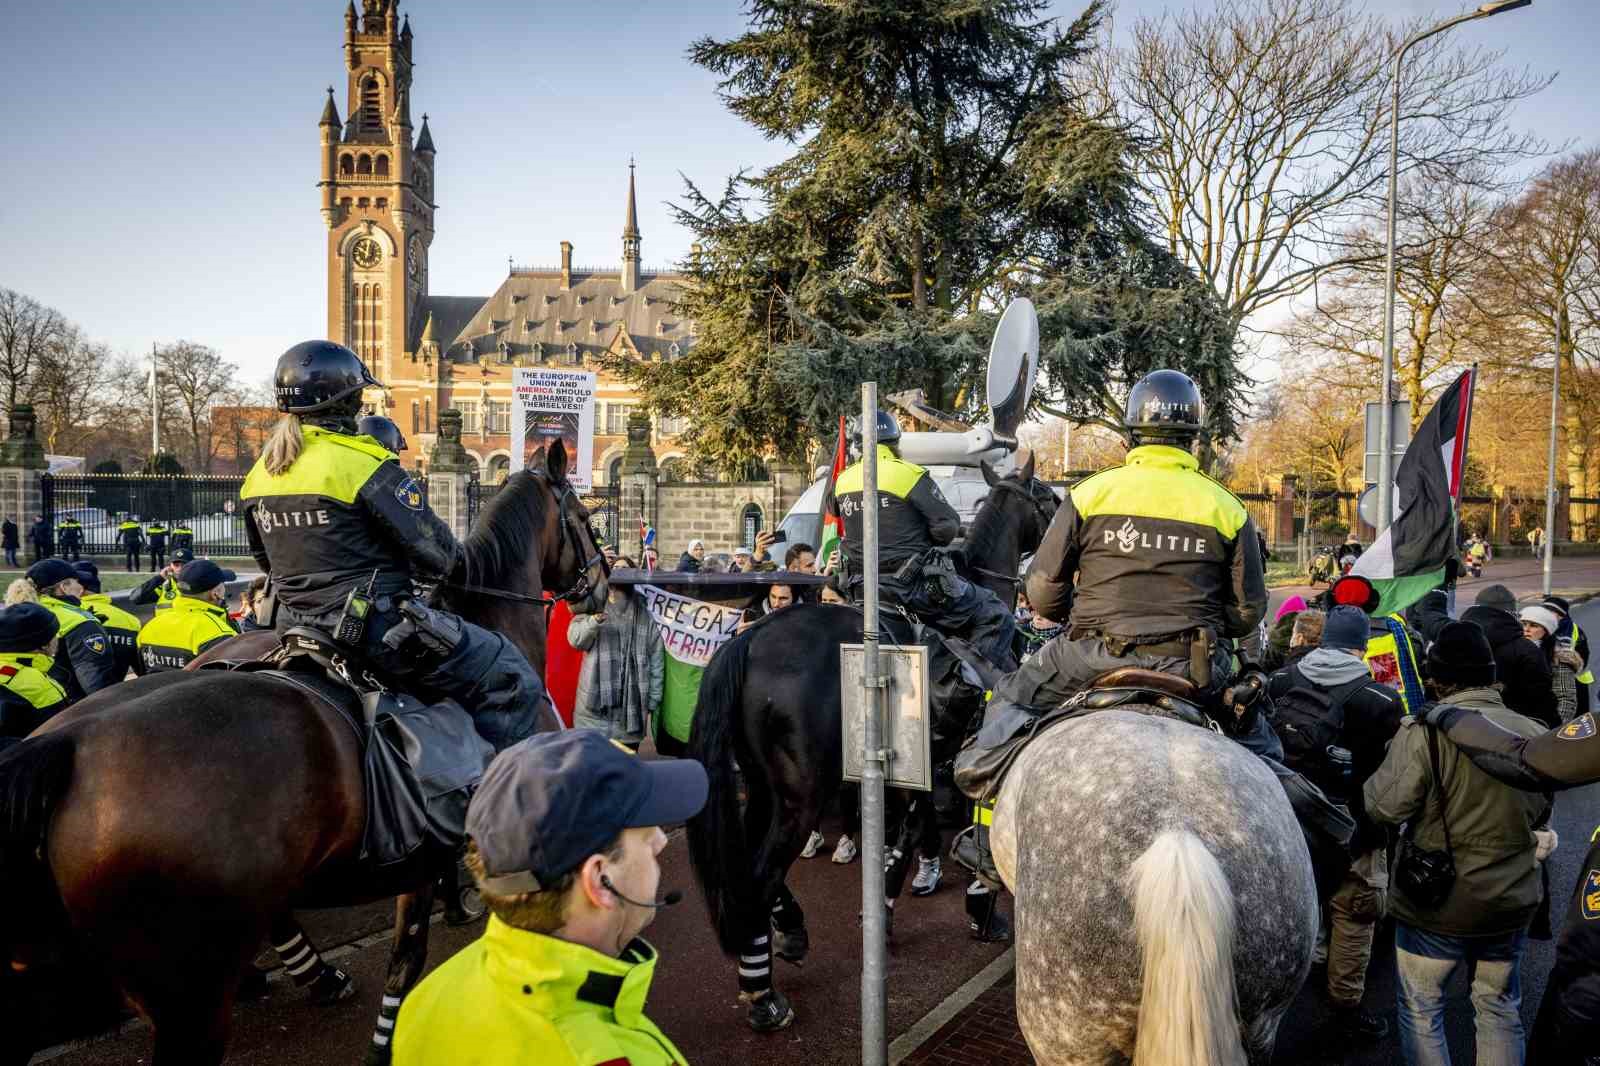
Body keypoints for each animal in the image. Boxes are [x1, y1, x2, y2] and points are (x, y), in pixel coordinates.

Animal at [0, 441, 604, 1062]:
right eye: (586, 519)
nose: (604, 583)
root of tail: (62, 743)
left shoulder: (420, 852)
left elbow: (405, 958)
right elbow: (417, 958)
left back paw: (319, 975)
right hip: (189, 996)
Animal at [684, 448, 1049, 1024]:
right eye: (1050, 498)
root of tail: (749, 641)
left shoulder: (920, 765)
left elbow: (906, 830)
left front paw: (886, 905)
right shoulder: (962, 754)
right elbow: (939, 831)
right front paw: (975, 905)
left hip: (765, 788)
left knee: (751, 871)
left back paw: (789, 932)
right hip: (801, 797)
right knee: (761, 875)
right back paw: (763, 993)